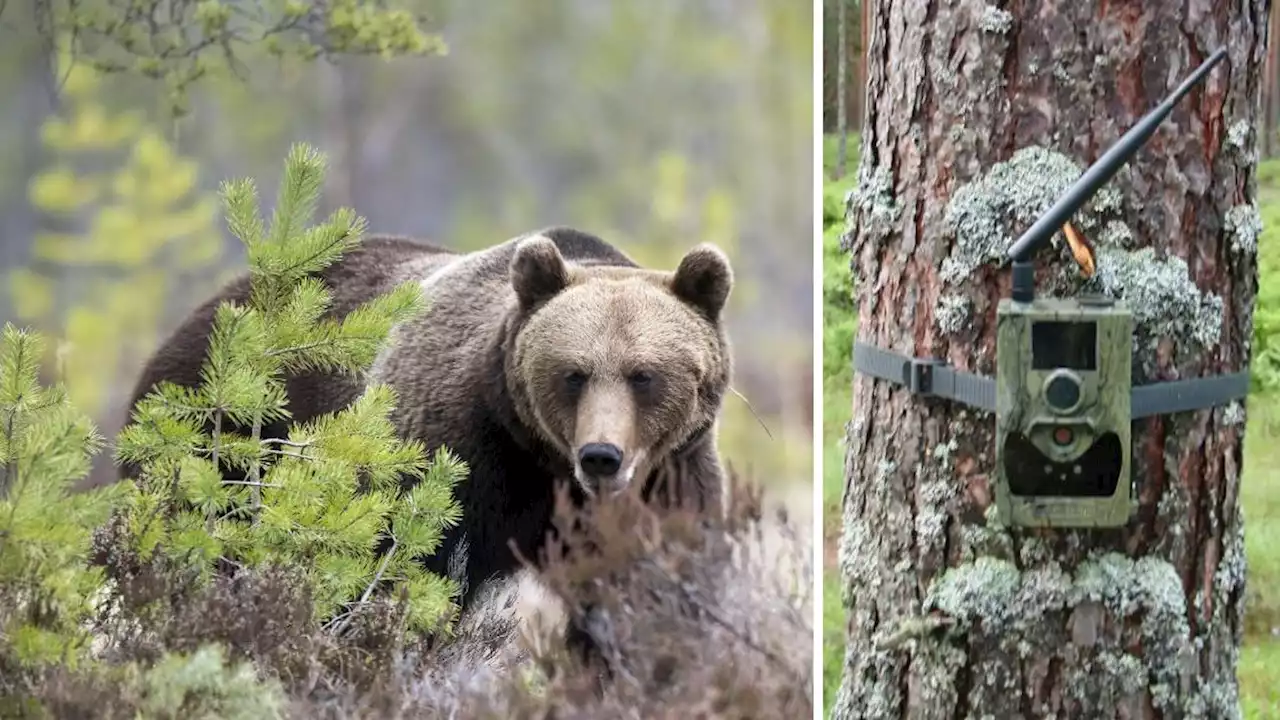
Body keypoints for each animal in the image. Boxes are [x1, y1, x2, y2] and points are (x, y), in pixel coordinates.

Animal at [124, 226, 737, 630]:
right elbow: (401, 570)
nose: (601, 456)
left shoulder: (670, 484)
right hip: (215, 445)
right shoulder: (459, 458)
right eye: (573, 373)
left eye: (643, 375)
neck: (545, 464)